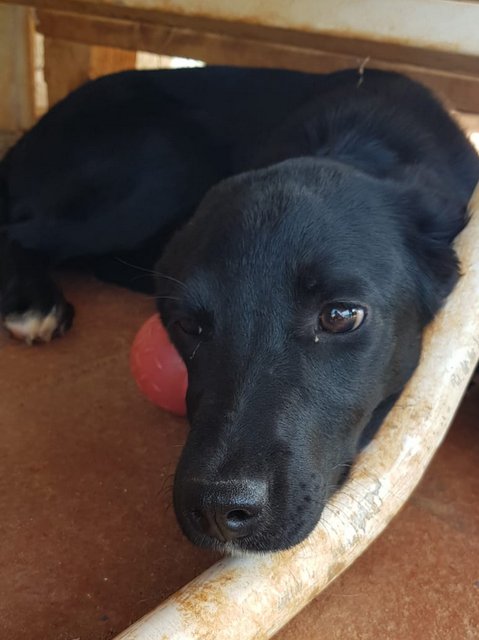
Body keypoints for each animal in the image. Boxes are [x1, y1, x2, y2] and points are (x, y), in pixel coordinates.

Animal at [1, 67, 478, 553]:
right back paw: (34, 303)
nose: (217, 509)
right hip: (162, 161)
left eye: (341, 316)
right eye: (188, 325)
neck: (358, 137)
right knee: (16, 230)